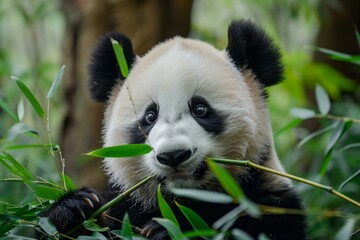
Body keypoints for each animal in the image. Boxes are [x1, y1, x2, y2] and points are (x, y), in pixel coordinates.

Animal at [42, 20, 306, 240]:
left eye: (200, 109)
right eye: (149, 117)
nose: (173, 155)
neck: (183, 199)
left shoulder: (269, 204)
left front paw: (168, 230)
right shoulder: (124, 205)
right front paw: (74, 208)